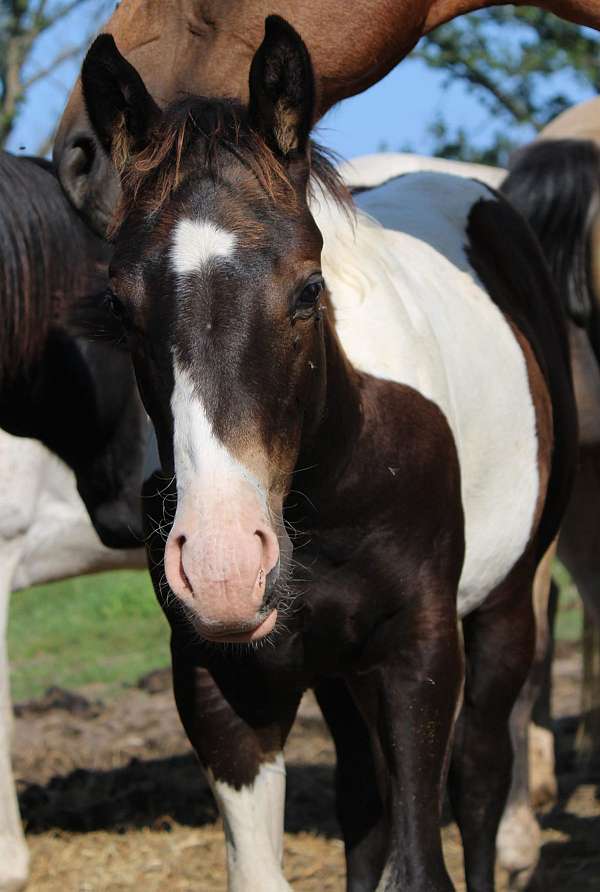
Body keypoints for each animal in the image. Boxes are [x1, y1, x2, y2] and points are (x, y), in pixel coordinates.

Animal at [79, 19, 576, 892]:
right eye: (119, 305)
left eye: (309, 290)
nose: (223, 569)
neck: (335, 484)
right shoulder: (220, 679)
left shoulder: (419, 649)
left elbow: (424, 860)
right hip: (339, 670)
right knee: (362, 798)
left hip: (507, 601)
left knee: (482, 778)